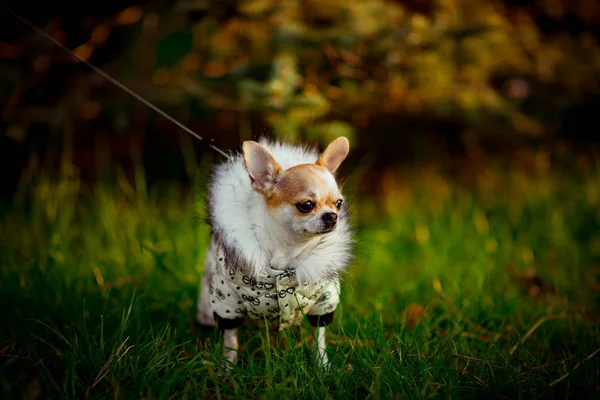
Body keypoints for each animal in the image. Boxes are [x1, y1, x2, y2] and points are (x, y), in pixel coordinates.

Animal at [197, 135, 354, 368]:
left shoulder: (323, 301)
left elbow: (319, 336)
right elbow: (230, 338)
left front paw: (322, 365)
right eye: (306, 205)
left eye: (339, 203)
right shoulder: (229, 303)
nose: (332, 216)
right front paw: (228, 366)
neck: (289, 254)